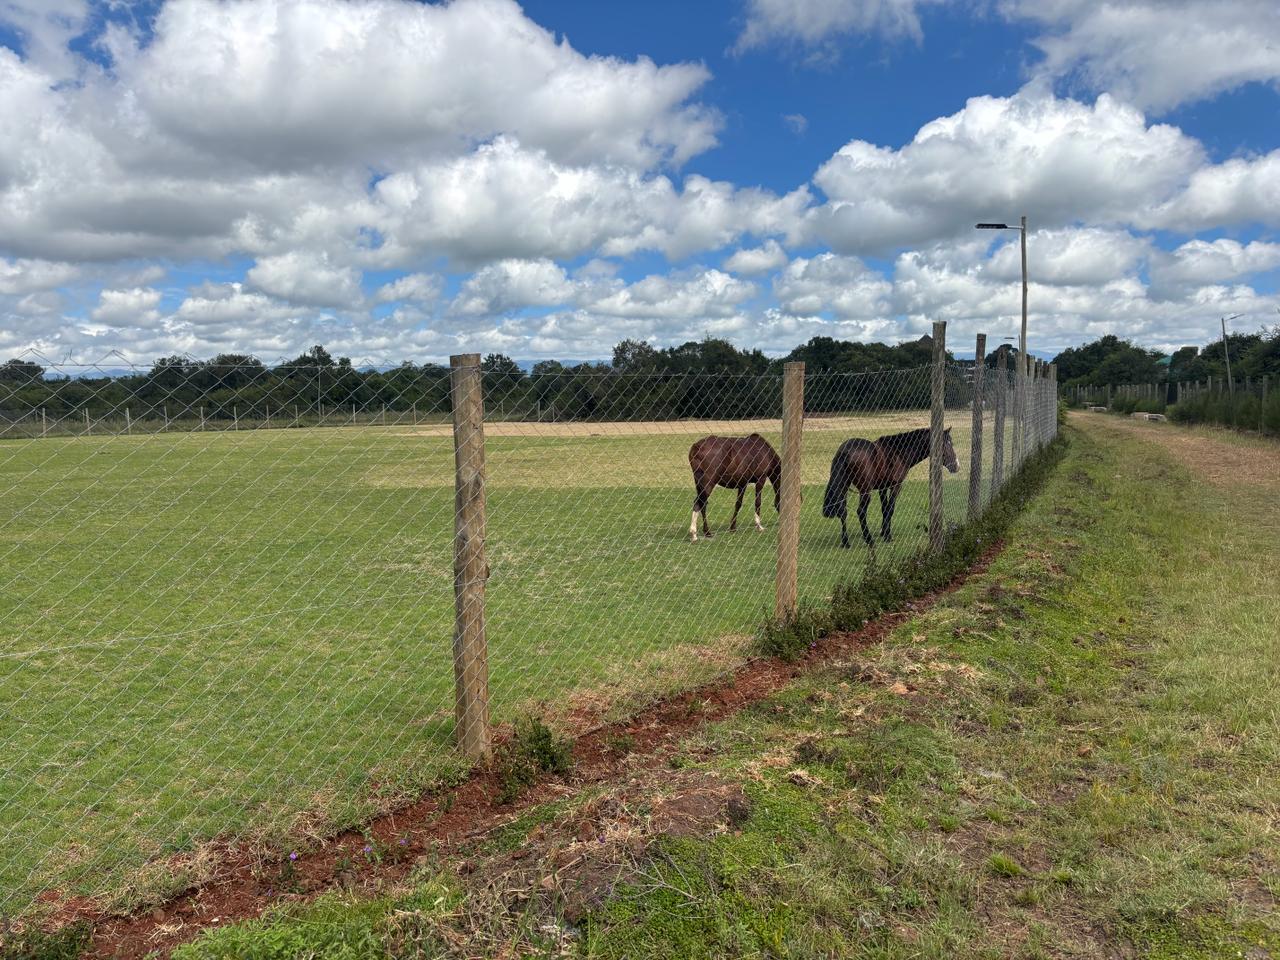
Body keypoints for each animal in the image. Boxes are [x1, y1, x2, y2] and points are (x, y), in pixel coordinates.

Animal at [821, 427, 958, 548]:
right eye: (948, 444)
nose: (956, 466)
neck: (898, 452)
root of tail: (845, 451)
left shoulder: (883, 488)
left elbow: (884, 509)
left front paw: (883, 532)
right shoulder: (895, 486)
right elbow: (890, 509)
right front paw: (888, 536)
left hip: (843, 487)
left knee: (842, 511)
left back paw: (846, 542)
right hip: (865, 491)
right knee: (860, 512)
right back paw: (869, 539)